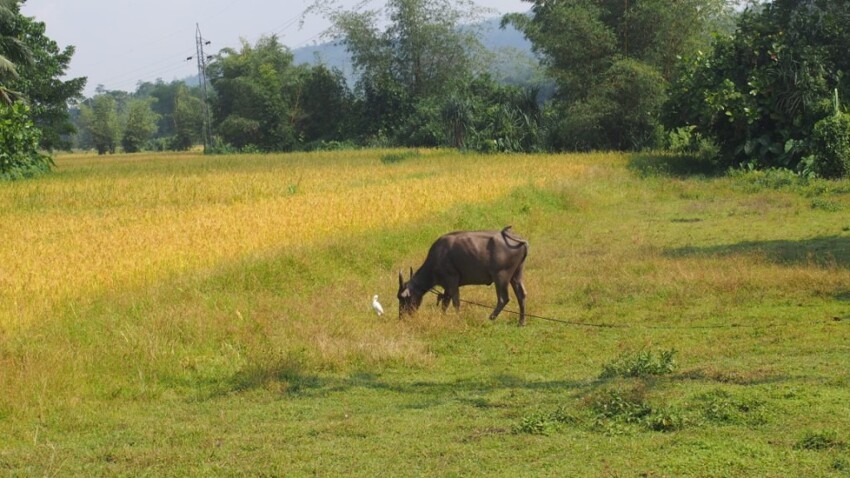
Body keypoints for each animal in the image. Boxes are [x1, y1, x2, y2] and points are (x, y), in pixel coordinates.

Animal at [400, 227, 528, 324]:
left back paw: (490, 318)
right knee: (521, 295)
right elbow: (445, 302)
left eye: (402, 298)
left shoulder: (452, 281)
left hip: (501, 277)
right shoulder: (447, 286)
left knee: (503, 299)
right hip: (516, 275)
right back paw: (521, 321)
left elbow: (455, 302)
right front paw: (443, 316)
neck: (438, 257)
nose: (401, 316)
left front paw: (458, 318)